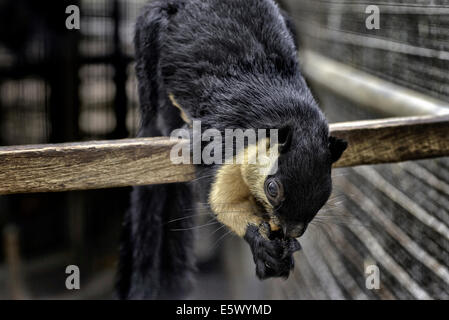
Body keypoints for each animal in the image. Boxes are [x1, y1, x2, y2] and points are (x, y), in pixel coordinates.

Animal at [116, 0, 346, 300]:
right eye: (273, 189)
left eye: (326, 191)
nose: (292, 231)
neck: (290, 115)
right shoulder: (222, 147)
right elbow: (221, 201)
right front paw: (261, 242)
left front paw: (282, 251)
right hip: (150, 36)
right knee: (151, 99)